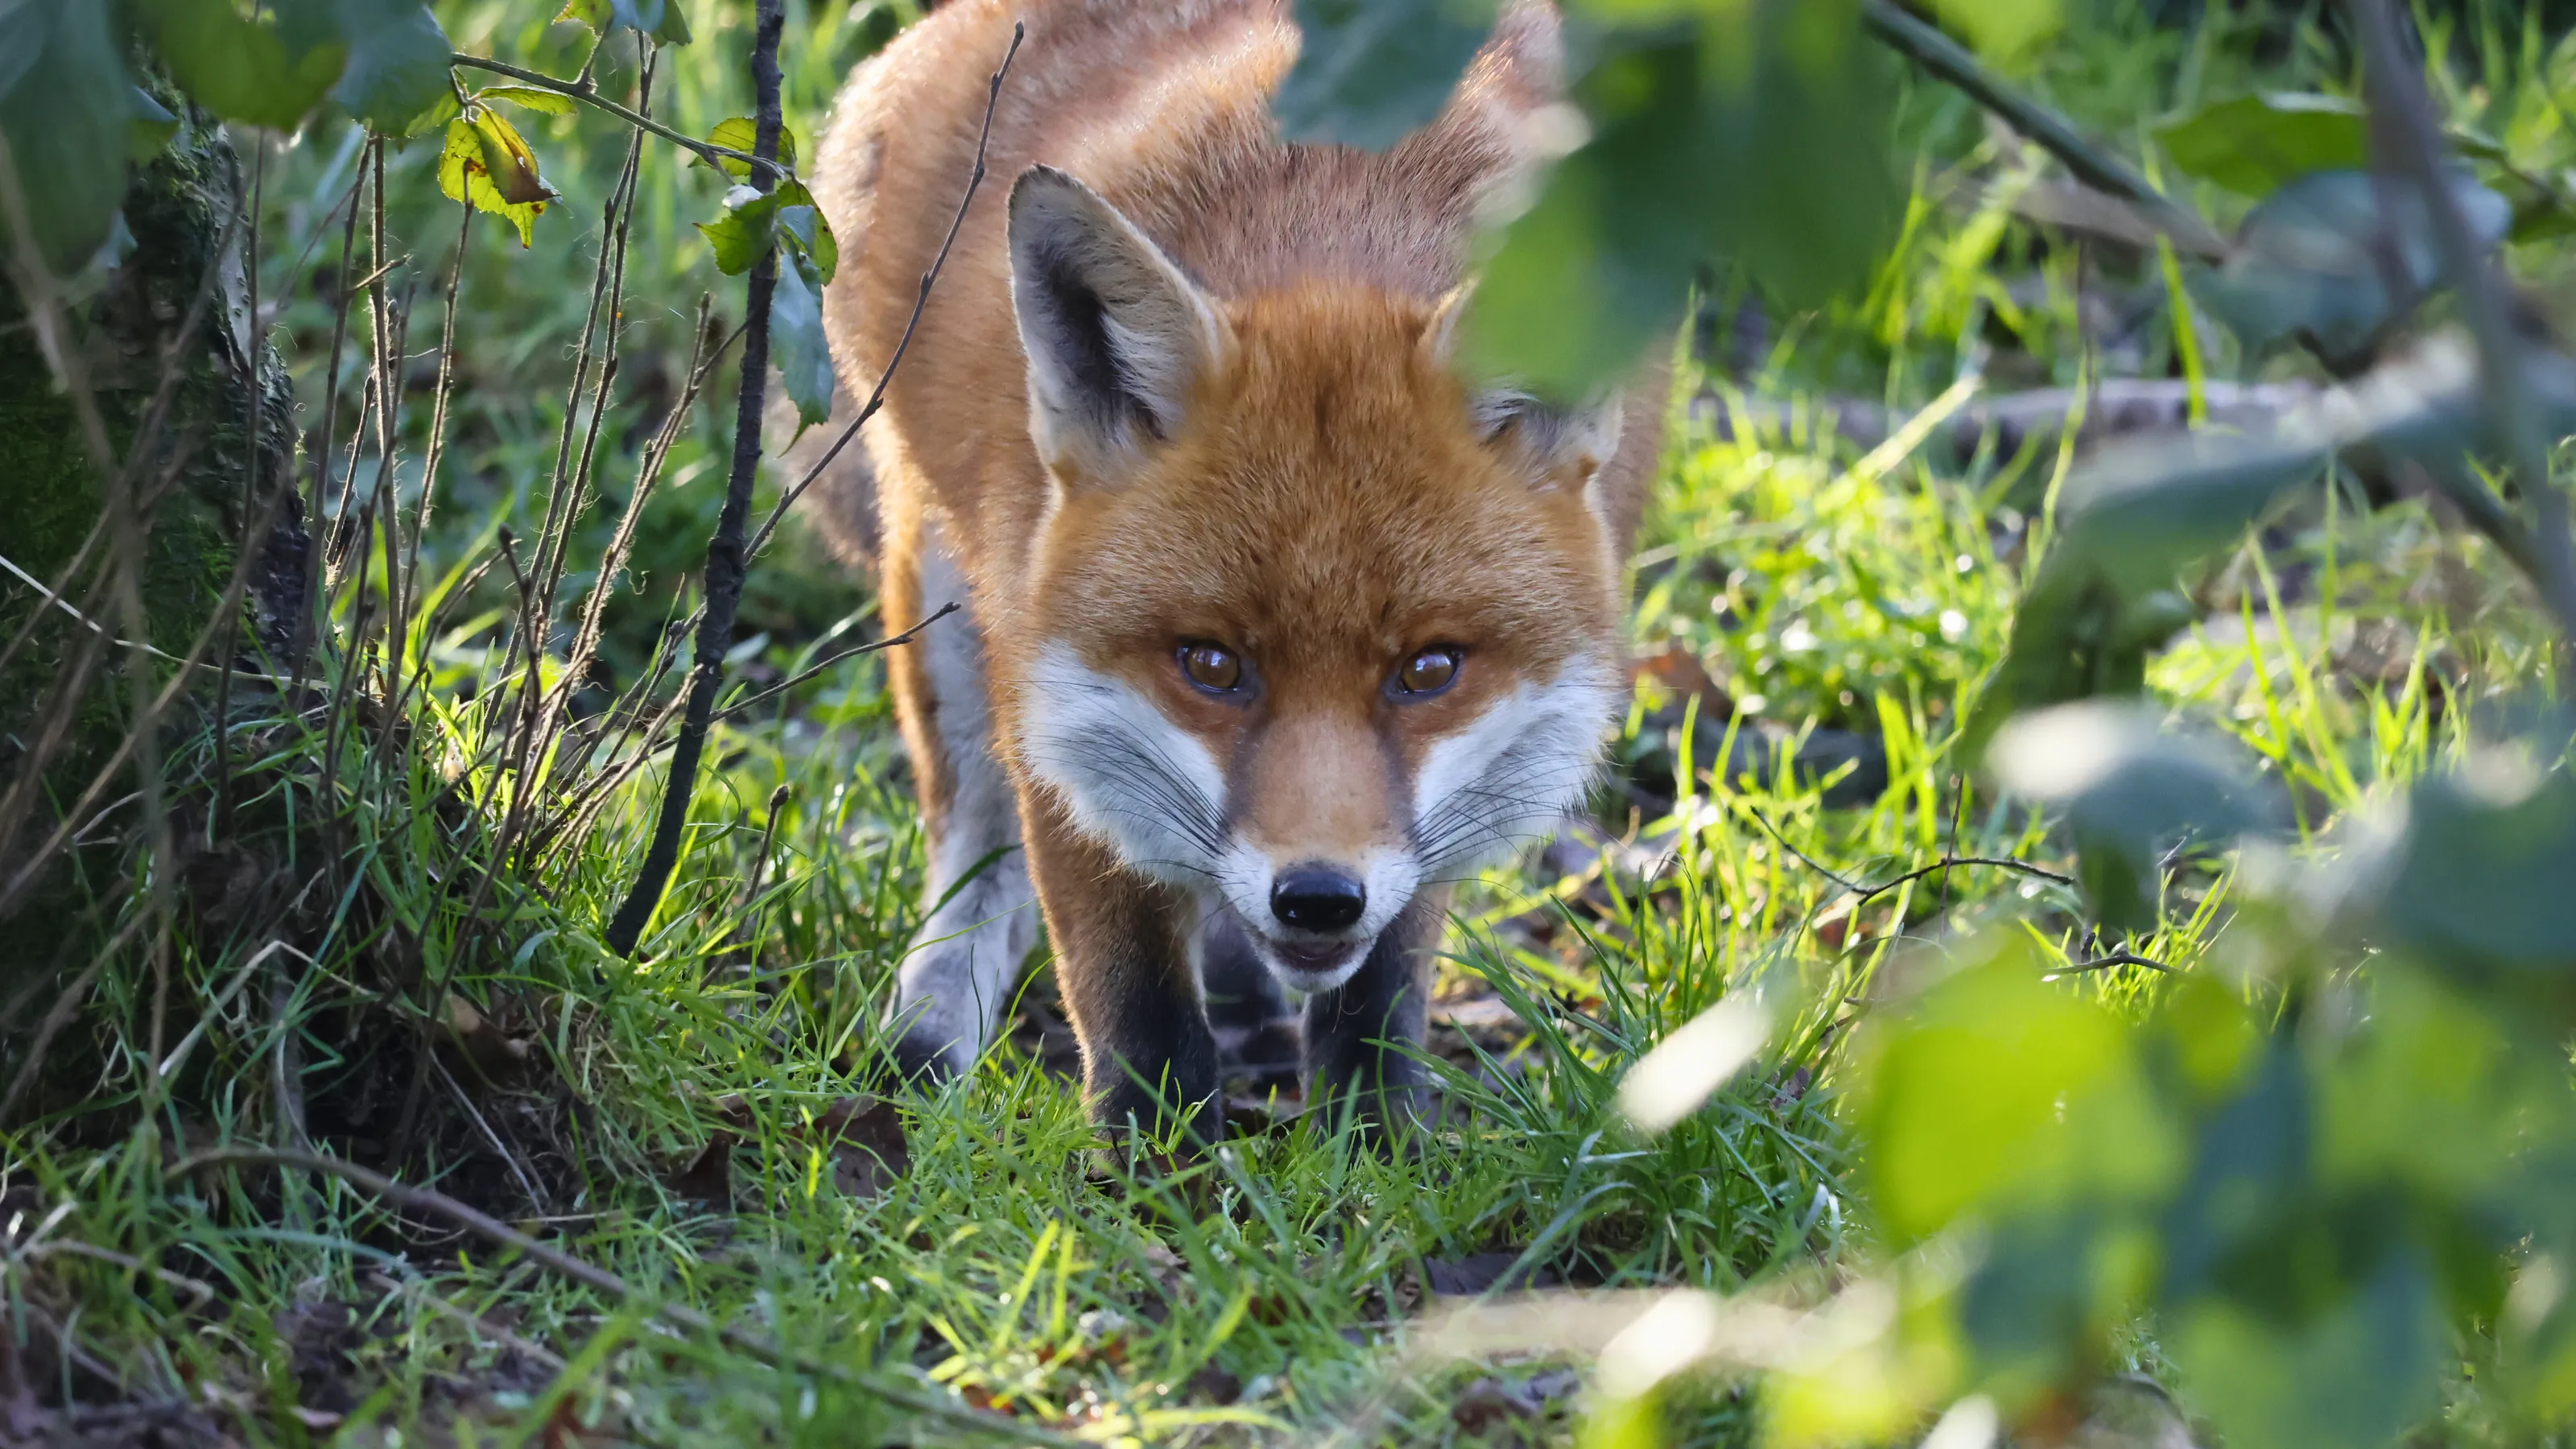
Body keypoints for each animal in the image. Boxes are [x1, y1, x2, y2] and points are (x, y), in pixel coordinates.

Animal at [809, 0, 1664, 1137]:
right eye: (1210, 664)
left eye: (1429, 670)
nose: (1317, 898)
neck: (1335, 213)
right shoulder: (1053, 693)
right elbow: (1129, 1001)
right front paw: (1150, 1163)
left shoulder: (1435, 813)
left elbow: (1379, 993)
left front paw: (1377, 1145)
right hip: (943, 602)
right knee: (974, 866)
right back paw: (923, 1043)